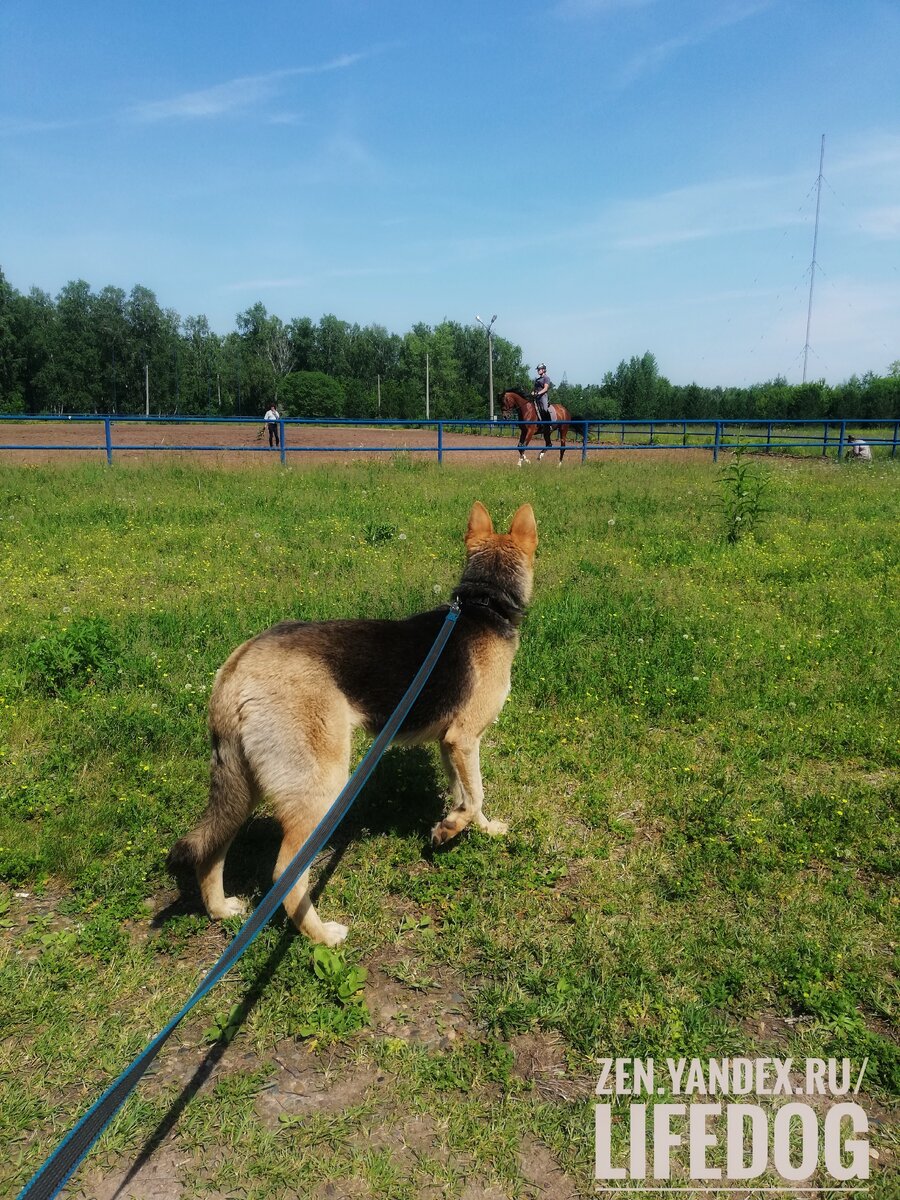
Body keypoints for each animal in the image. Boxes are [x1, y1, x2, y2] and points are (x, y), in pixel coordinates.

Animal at [168, 501, 535, 940]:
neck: (484, 604)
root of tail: (236, 669)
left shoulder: (449, 744)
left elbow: (466, 794)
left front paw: (478, 827)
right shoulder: (463, 739)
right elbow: (475, 793)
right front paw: (450, 828)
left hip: (245, 785)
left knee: (212, 849)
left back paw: (220, 909)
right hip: (322, 787)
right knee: (285, 874)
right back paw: (322, 936)